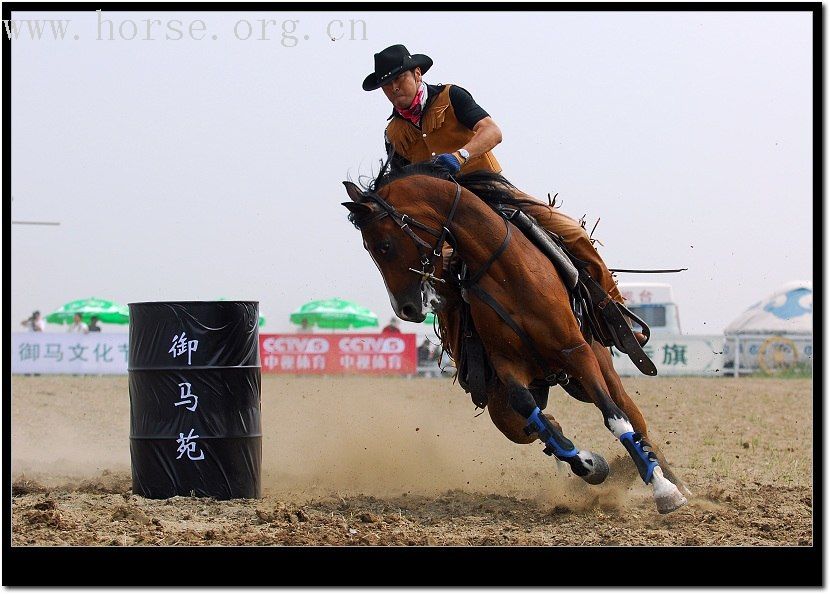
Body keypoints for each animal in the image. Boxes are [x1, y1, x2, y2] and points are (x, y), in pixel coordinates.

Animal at [342, 163, 692, 512]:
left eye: (385, 245)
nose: (406, 308)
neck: (504, 271)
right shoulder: (507, 364)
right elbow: (526, 405)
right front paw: (588, 463)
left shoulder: (576, 352)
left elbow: (615, 417)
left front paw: (664, 490)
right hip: (506, 405)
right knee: (537, 424)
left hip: (598, 365)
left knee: (633, 416)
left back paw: (674, 481)